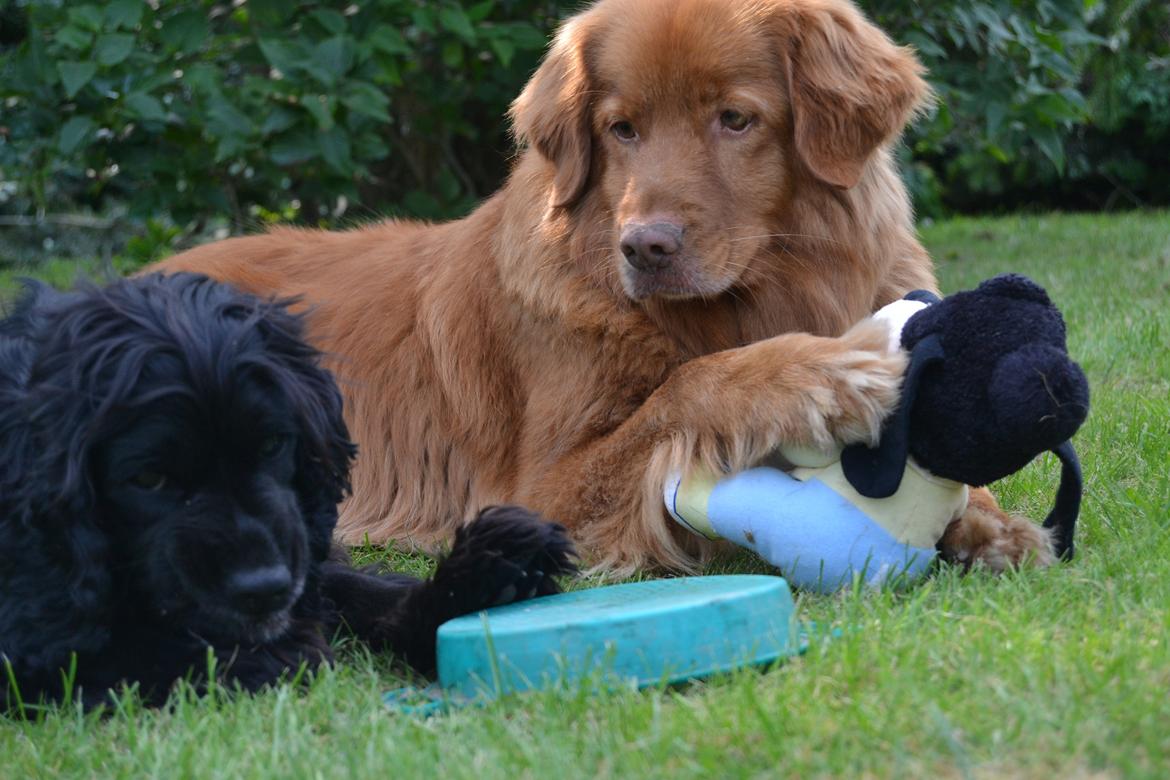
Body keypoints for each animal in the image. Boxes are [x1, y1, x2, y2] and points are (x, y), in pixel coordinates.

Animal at [0, 274, 575, 706]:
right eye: (147, 479)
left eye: (274, 444)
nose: (264, 588)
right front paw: (281, 653)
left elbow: (348, 586)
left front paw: (489, 573)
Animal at [155, 0, 1053, 573]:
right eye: (621, 129)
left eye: (735, 119)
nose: (644, 247)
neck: (747, 304)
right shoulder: (540, 487)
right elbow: (686, 389)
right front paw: (813, 374)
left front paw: (990, 524)